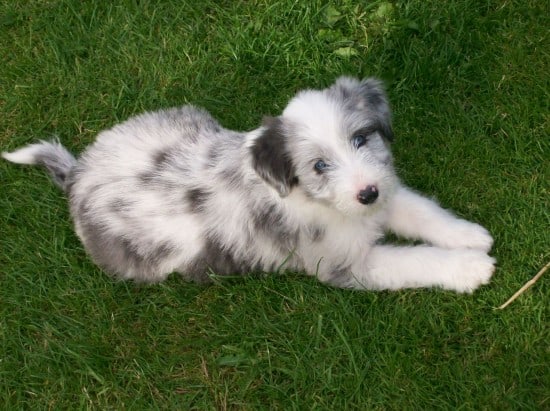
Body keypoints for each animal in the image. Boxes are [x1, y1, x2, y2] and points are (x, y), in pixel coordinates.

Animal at [3, 78, 496, 292]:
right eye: (319, 165)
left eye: (361, 138)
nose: (367, 193)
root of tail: (78, 175)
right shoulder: (345, 263)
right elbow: (414, 260)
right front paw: (470, 268)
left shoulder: (382, 190)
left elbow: (421, 210)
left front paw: (469, 235)